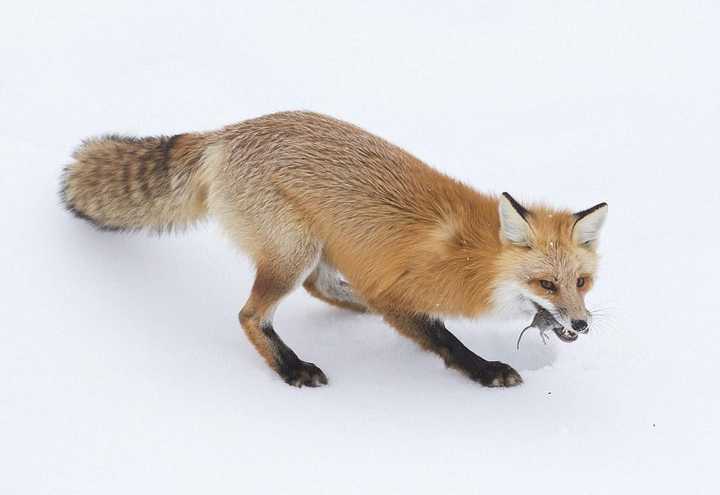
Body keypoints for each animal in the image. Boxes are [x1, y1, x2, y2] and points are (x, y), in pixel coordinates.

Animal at [60, 110, 608, 390]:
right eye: (546, 284)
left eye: (581, 282)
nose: (583, 324)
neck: (473, 258)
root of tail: (228, 132)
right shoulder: (397, 293)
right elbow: (445, 339)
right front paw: (484, 370)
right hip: (291, 252)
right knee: (250, 314)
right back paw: (291, 368)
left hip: (312, 248)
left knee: (318, 286)